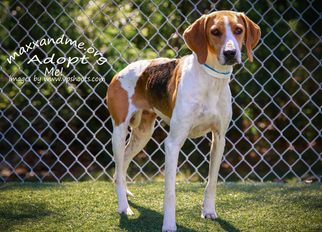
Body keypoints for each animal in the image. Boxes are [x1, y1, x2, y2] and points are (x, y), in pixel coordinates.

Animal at [107, 10, 260, 230]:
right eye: (215, 32)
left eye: (239, 30)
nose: (231, 53)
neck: (210, 80)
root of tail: (120, 72)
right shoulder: (173, 143)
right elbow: (170, 194)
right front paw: (169, 225)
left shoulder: (219, 139)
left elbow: (212, 182)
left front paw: (209, 211)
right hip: (119, 132)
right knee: (119, 166)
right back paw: (123, 206)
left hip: (143, 134)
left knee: (123, 164)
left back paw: (126, 194)